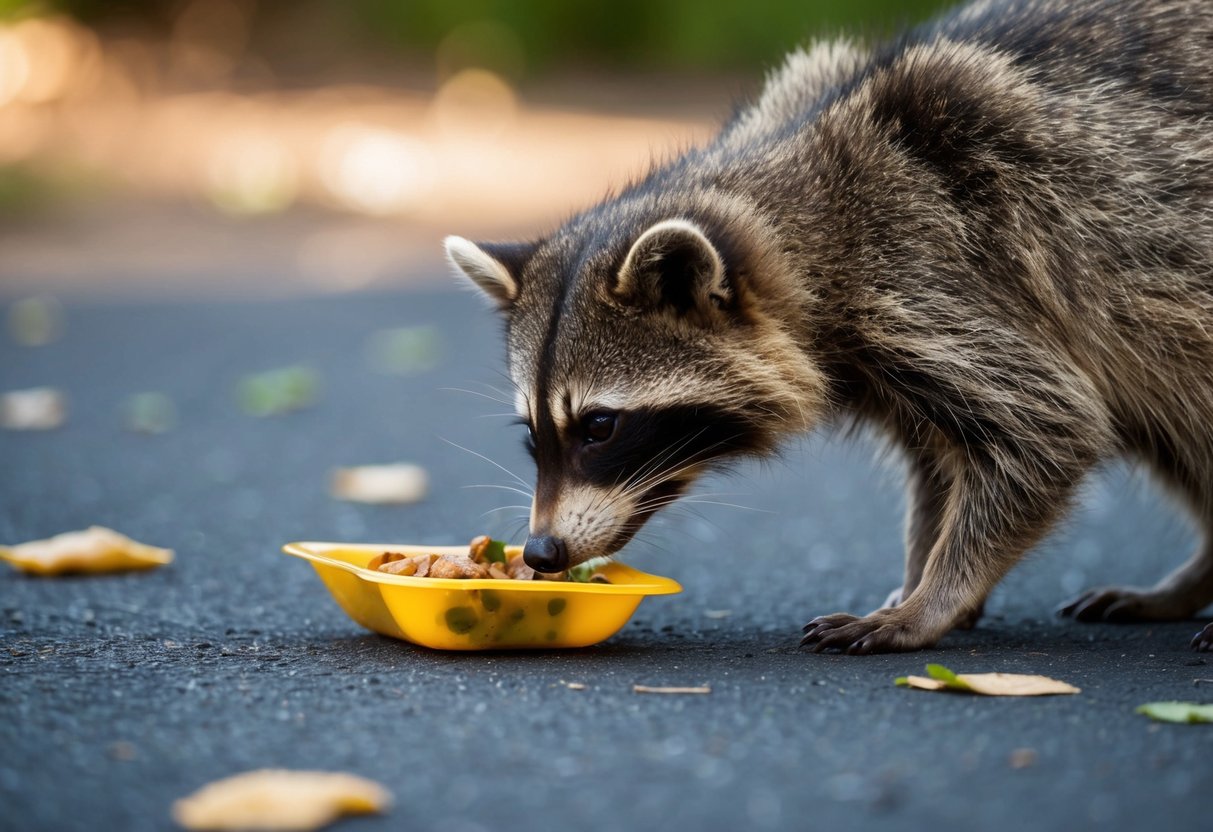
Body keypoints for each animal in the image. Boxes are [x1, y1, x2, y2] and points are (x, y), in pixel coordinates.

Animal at [445, 0, 1213, 653]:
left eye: (600, 427)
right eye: (531, 433)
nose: (541, 552)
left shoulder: (936, 281)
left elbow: (1049, 427)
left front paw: (934, 595)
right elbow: (939, 467)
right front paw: (923, 572)